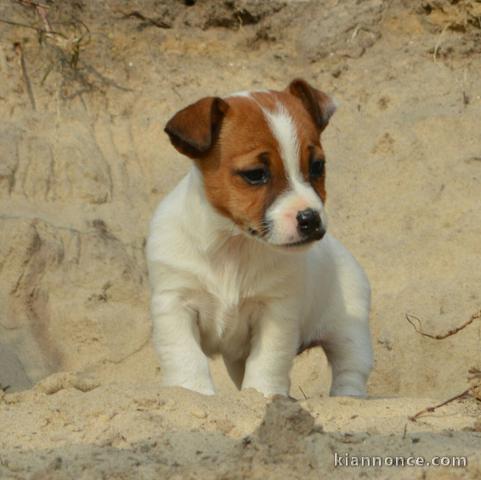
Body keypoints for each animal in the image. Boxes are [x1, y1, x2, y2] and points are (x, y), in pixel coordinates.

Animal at [145, 79, 372, 398]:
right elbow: (185, 356)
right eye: (255, 174)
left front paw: (263, 394)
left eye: (317, 166)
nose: (311, 219)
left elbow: (267, 362)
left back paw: (346, 397)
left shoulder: (276, 313)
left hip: (349, 330)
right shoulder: (175, 304)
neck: (232, 245)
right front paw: (193, 391)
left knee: (350, 368)